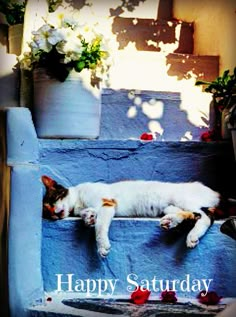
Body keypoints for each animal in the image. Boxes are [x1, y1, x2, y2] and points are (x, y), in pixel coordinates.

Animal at [41, 174, 220, 258]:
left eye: (53, 199)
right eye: (47, 212)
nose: (55, 214)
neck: (78, 202)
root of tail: (215, 192)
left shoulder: (107, 203)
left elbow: (100, 226)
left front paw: (102, 246)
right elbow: (89, 216)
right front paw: (88, 217)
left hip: (182, 199)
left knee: (205, 216)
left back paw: (192, 236)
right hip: (170, 207)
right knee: (191, 215)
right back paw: (170, 222)